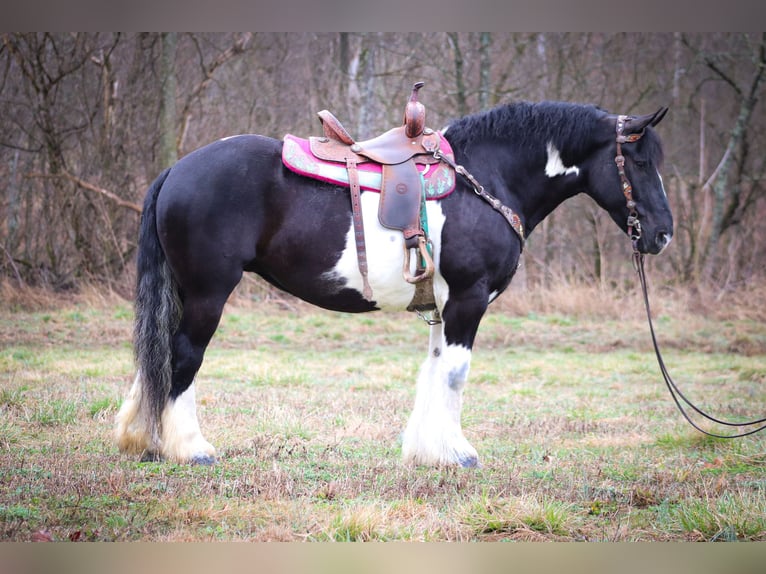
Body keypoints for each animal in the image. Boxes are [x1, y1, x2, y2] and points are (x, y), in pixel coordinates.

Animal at [114, 99, 672, 468]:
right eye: (641, 161)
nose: (663, 234)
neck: (487, 178)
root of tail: (177, 169)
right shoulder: (469, 300)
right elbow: (455, 374)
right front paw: (458, 455)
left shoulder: (444, 307)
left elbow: (434, 370)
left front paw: (429, 451)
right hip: (207, 293)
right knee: (183, 356)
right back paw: (190, 449)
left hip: (182, 292)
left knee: (156, 354)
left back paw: (144, 440)